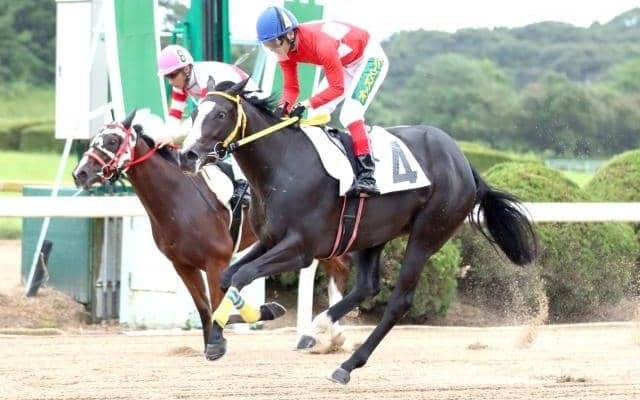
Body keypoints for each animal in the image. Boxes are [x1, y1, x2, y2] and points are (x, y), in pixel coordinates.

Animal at [71, 109, 352, 351]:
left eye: (112, 140)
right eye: (95, 139)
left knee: (338, 267)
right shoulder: (183, 264)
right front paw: (212, 343)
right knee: (337, 268)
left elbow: (219, 307)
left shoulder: (216, 260)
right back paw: (331, 334)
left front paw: (264, 312)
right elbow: (206, 308)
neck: (178, 200)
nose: (80, 173)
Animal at [178, 78, 538, 384]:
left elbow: (242, 275)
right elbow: (229, 277)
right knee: (367, 285)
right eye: (194, 114)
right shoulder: (270, 240)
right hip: (373, 234)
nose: (186, 155)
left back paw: (347, 364)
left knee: (399, 300)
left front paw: (220, 339)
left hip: (427, 234)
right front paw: (234, 328)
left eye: (220, 114)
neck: (283, 167)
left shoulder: (300, 249)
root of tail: (463, 162)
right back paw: (319, 327)